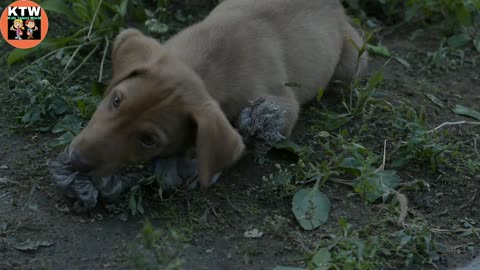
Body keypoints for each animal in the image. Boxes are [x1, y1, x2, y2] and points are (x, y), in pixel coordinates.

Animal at [67, 0, 368, 188]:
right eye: (116, 100)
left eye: (148, 140)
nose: (76, 162)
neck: (204, 66)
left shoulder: (282, 106)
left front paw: (196, 166)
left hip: (352, 63)